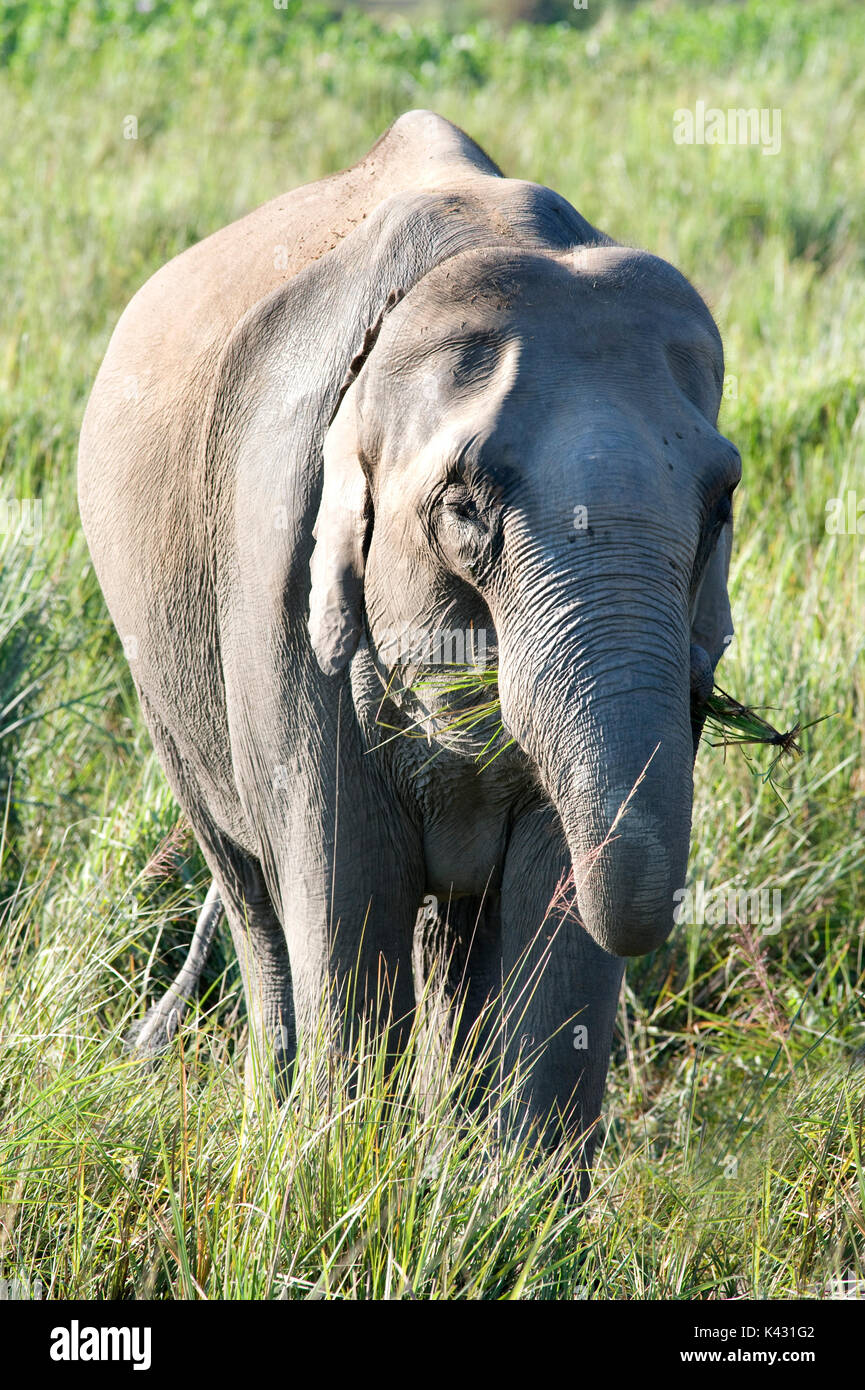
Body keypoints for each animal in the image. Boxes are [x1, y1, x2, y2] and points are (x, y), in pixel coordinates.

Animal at [78, 110, 739, 1172]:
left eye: (721, 500)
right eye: (463, 506)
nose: (139, 1045)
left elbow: (559, 913)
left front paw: (513, 1205)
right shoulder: (277, 589)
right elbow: (345, 898)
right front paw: (342, 1174)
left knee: (454, 938)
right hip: (160, 672)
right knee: (258, 900)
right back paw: (284, 1114)